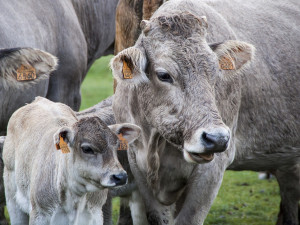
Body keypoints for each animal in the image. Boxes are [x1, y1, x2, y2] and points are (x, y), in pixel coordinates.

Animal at [2, 97, 141, 225]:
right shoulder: (39, 215)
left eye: (116, 145)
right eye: (87, 148)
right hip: (12, 198)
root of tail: (40, 100)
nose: (120, 176)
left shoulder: (96, 214)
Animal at [110, 0, 300, 223]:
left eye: (216, 72)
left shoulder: (212, 169)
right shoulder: (137, 164)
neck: (156, 144)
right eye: (164, 75)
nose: (216, 138)